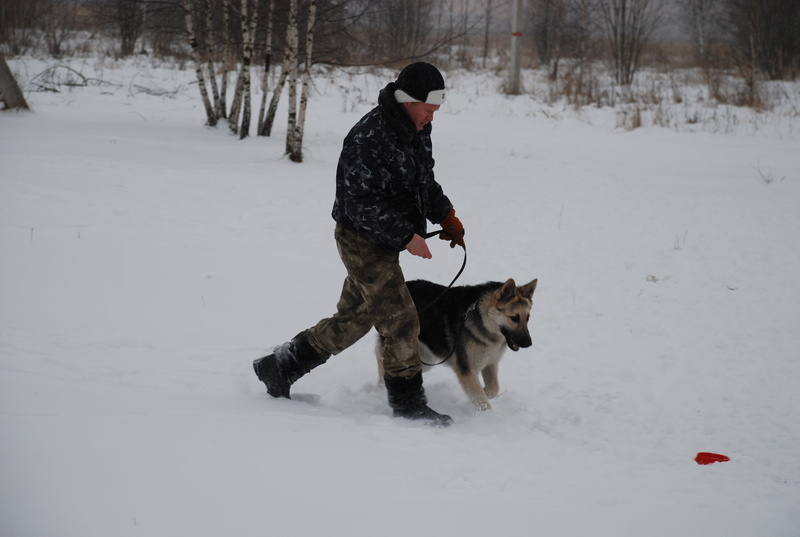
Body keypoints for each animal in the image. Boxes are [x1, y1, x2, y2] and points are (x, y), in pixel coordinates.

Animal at [380, 276, 536, 410]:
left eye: (527, 318)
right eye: (514, 318)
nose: (528, 343)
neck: (483, 319)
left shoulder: (490, 362)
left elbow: (493, 389)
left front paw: (484, 391)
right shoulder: (466, 370)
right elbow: (482, 402)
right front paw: (487, 417)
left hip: (425, 359)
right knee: (382, 360)